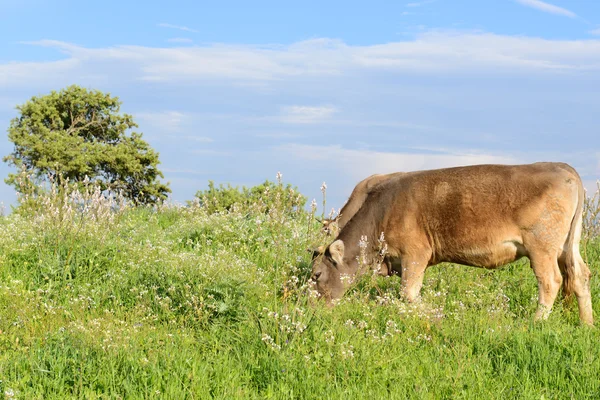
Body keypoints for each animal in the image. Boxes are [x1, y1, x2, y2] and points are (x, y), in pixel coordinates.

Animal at [312, 162, 592, 324]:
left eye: (316, 275)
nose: (311, 306)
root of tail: (561, 166)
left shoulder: (415, 253)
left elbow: (409, 293)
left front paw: (437, 317)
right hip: (567, 246)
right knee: (580, 275)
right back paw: (586, 324)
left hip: (541, 247)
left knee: (550, 281)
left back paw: (536, 323)